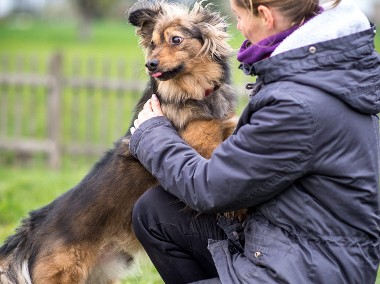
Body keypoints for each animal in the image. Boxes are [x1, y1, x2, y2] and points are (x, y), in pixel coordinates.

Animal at [0, 1, 238, 282]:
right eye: (153, 43)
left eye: (176, 40)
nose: (150, 64)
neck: (190, 94)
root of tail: (33, 225)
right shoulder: (201, 152)